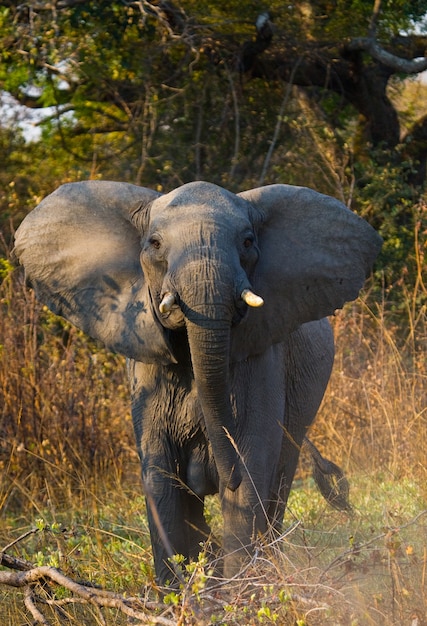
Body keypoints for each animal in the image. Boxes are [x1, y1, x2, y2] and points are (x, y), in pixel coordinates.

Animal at [12, 178, 382, 584]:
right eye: (155, 243)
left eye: (248, 241)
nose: (223, 475)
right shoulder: (148, 377)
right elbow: (162, 485)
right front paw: (181, 592)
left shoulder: (260, 362)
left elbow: (250, 471)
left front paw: (240, 593)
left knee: (279, 483)